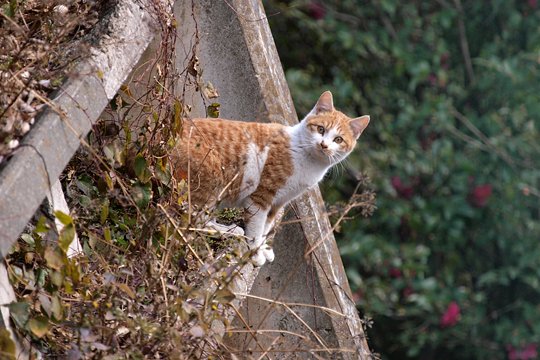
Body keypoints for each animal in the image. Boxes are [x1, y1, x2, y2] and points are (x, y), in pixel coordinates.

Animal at [171, 92, 370, 268]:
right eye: (321, 129)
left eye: (338, 139)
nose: (324, 145)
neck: (307, 159)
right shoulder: (262, 196)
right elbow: (257, 227)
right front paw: (255, 253)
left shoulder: (279, 202)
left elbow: (266, 227)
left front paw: (263, 248)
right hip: (212, 177)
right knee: (190, 219)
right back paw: (225, 231)